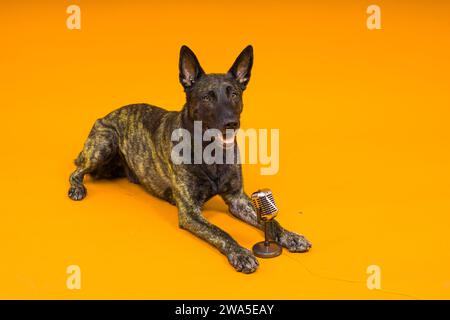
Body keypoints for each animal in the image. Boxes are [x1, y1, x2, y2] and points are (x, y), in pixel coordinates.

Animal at [68, 46, 312, 274]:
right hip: (104, 143)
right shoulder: (190, 212)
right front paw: (240, 253)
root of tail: (108, 114)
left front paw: (290, 236)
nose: (231, 123)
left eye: (234, 94)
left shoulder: (238, 199)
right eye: (207, 97)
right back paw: (77, 188)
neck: (211, 152)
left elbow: (271, 222)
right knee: (76, 171)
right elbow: (220, 231)